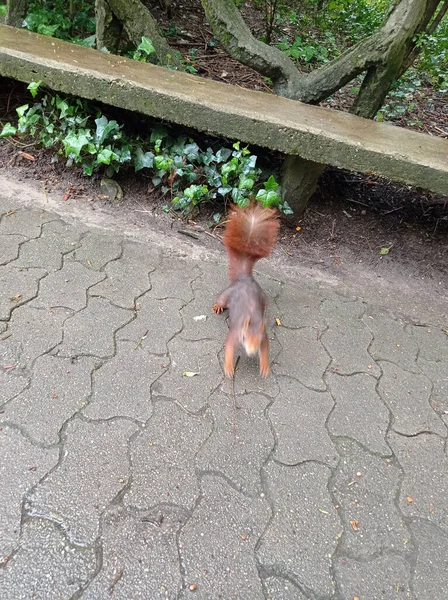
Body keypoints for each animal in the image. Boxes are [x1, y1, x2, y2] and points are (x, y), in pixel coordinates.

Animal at [212, 204, 278, 378]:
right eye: (243, 337)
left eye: (258, 339)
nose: (251, 353)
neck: (252, 321)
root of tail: (244, 277)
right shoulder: (235, 332)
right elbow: (229, 347)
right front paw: (229, 367)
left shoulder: (264, 336)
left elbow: (265, 349)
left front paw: (264, 367)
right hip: (228, 293)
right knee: (221, 299)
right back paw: (218, 306)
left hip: (262, 296)